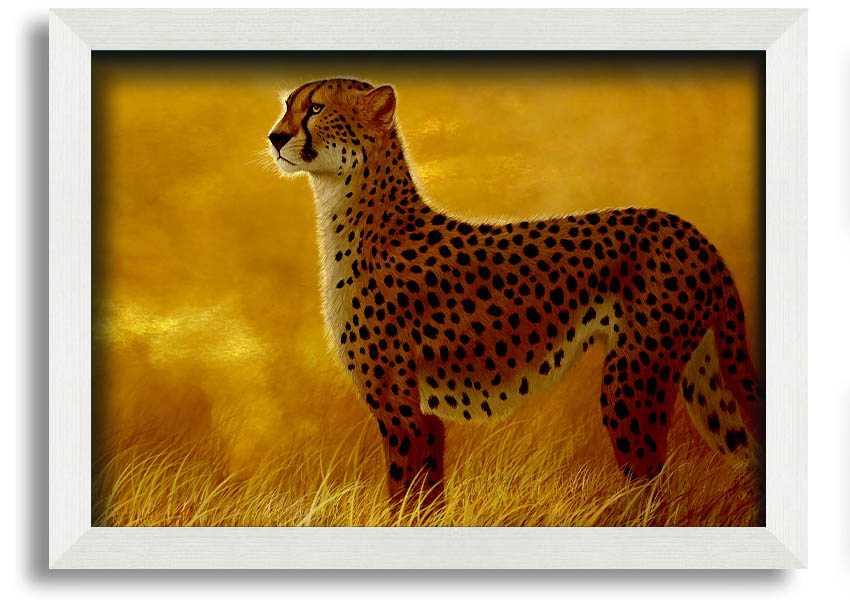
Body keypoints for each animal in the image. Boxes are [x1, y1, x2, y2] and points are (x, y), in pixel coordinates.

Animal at [267, 78, 764, 509]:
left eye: (316, 108)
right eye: (288, 105)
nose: (274, 137)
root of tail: (688, 229)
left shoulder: (400, 409)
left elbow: (405, 496)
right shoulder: (423, 413)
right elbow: (426, 498)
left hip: (633, 381)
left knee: (652, 483)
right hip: (702, 376)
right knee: (744, 454)